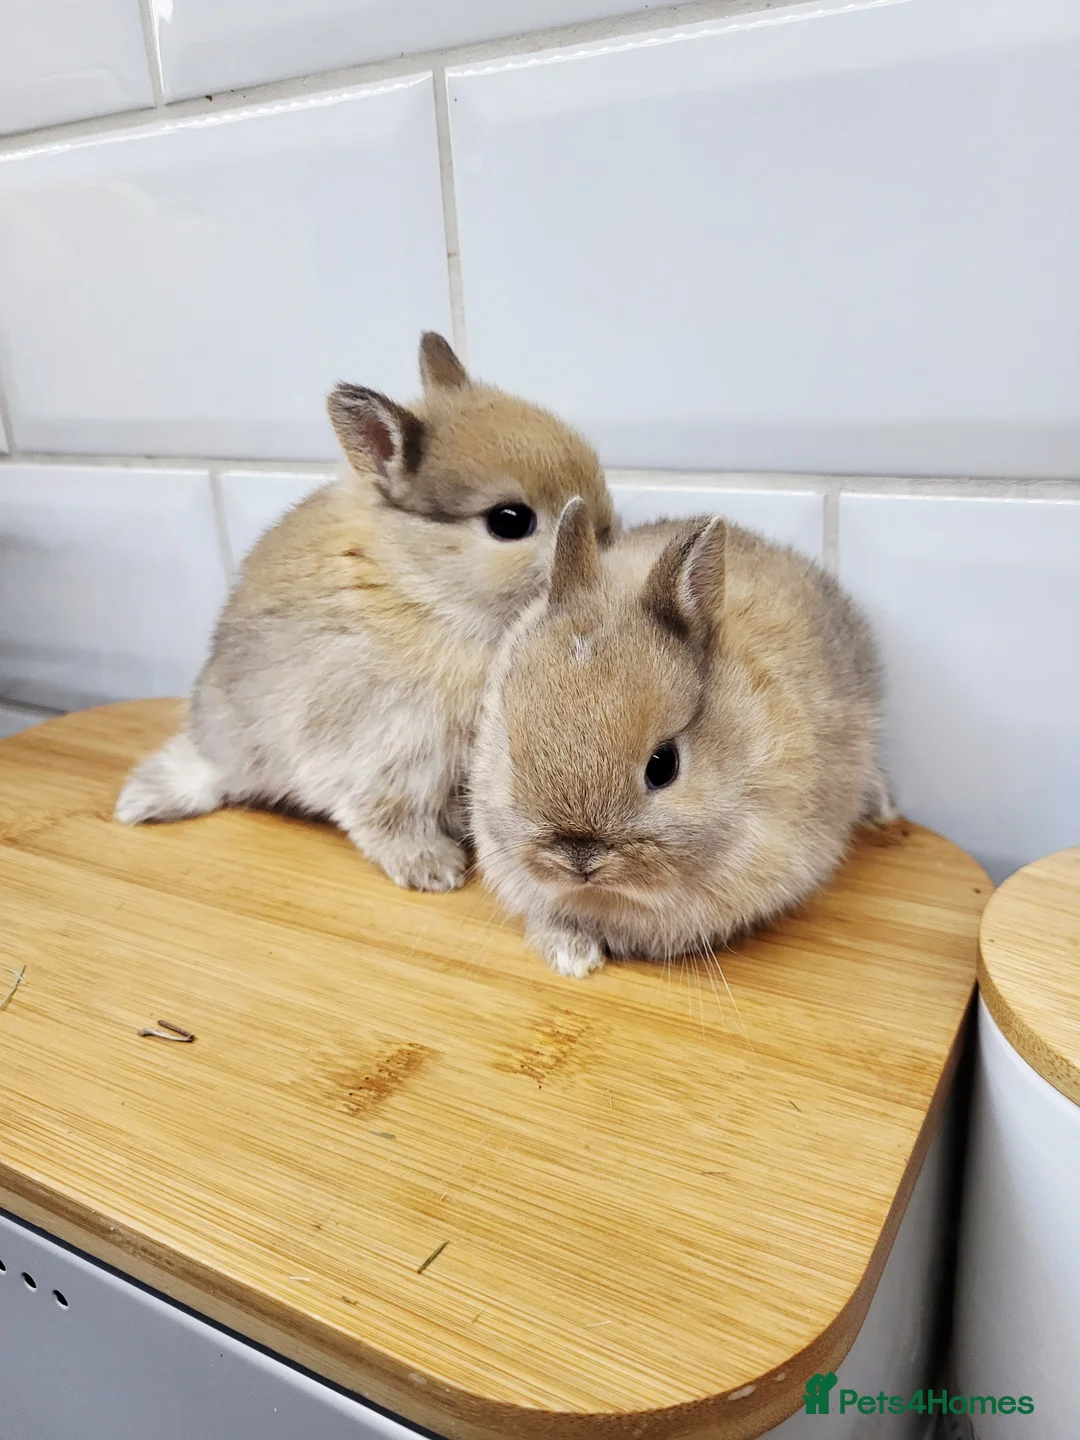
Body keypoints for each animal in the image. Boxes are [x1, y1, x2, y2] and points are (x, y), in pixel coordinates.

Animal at [115, 334, 616, 893]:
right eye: (510, 521)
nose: (606, 536)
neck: (421, 585)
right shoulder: (382, 745)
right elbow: (383, 813)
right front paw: (433, 869)